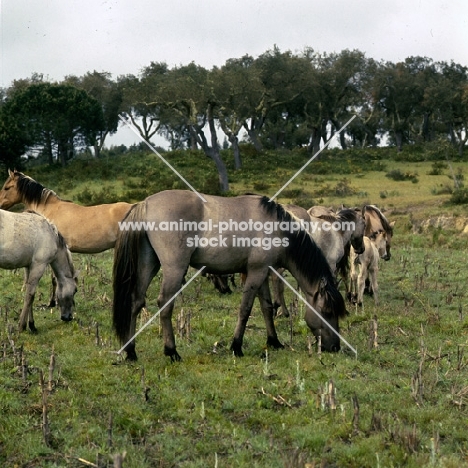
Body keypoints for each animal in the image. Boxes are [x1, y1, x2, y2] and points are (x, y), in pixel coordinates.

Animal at [112, 190, 348, 362]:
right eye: (327, 312)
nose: (335, 346)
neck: (277, 227)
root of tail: (145, 204)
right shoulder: (255, 273)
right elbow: (245, 309)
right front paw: (236, 346)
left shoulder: (262, 272)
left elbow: (267, 308)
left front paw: (274, 341)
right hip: (174, 269)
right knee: (165, 304)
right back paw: (172, 351)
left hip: (148, 265)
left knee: (136, 301)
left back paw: (131, 352)